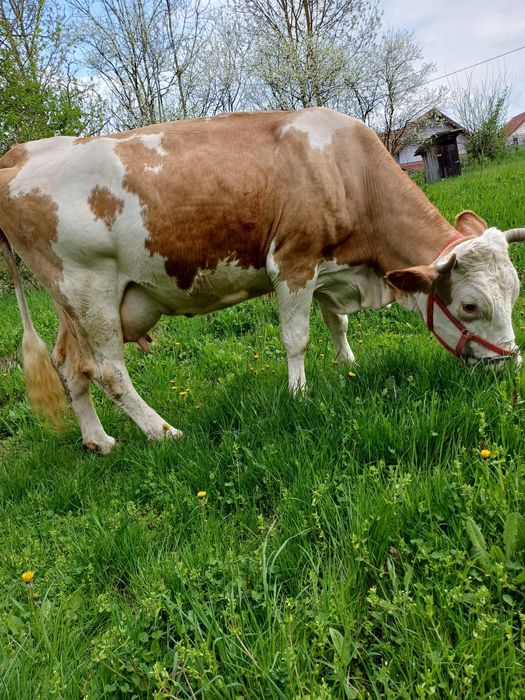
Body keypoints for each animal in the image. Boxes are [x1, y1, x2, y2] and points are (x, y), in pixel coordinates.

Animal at [1, 107, 524, 453]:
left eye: (514, 293)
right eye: (470, 306)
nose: (509, 365)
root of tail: (21, 153)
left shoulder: (328, 267)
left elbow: (337, 322)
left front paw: (347, 364)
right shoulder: (292, 262)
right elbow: (298, 338)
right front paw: (299, 393)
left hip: (71, 304)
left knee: (71, 365)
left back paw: (99, 440)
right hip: (89, 290)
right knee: (109, 370)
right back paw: (162, 432)